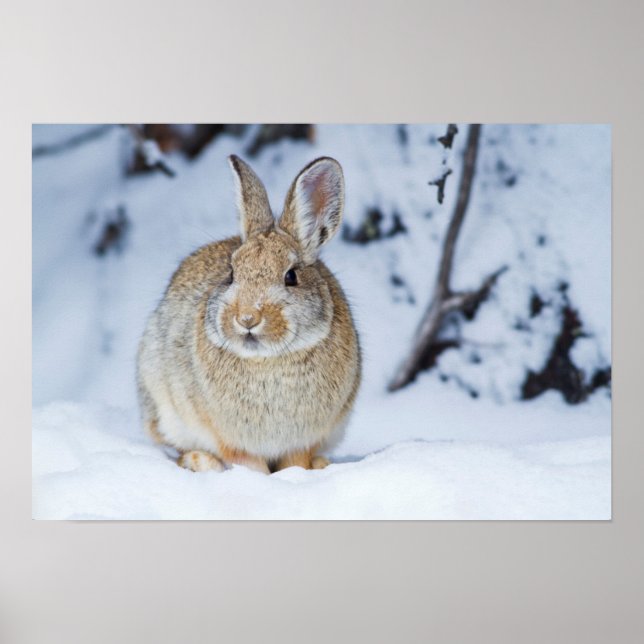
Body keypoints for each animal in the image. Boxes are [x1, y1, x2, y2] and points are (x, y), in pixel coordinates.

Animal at [136, 155, 361, 473]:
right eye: (231, 274)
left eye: (291, 276)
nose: (246, 319)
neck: (269, 360)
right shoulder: (232, 441)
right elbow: (249, 464)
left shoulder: (302, 441)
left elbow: (296, 462)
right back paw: (201, 462)